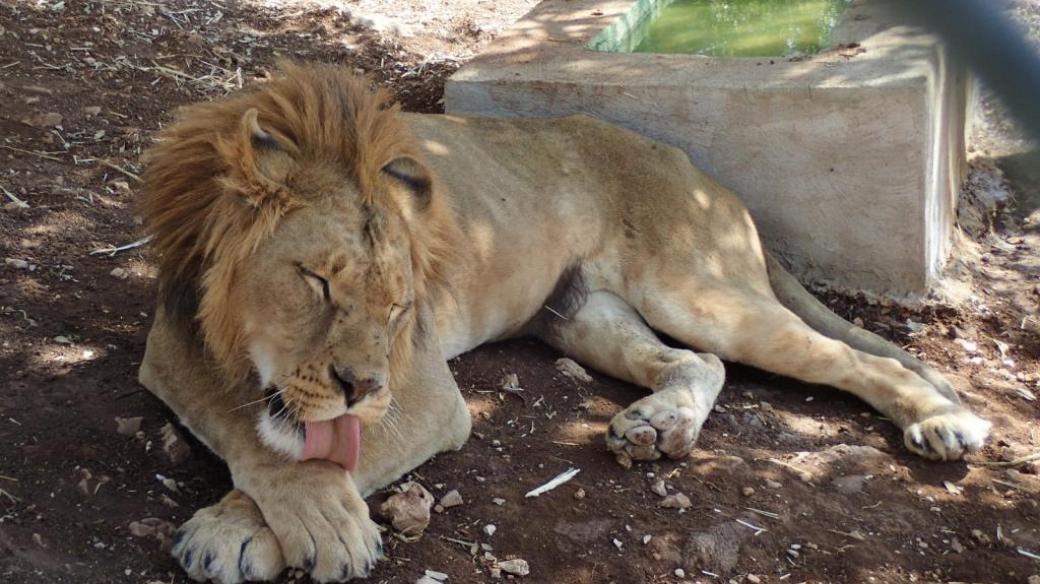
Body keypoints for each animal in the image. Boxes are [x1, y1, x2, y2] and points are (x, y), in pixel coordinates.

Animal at [138, 64, 990, 581]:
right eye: (316, 282)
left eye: (399, 304)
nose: (361, 386)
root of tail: (701, 171)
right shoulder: (171, 353)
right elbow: (247, 429)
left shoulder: (424, 393)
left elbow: (308, 450)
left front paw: (246, 527)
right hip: (578, 315)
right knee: (698, 364)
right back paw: (656, 426)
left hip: (696, 291)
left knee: (860, 361)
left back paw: (942, 422)